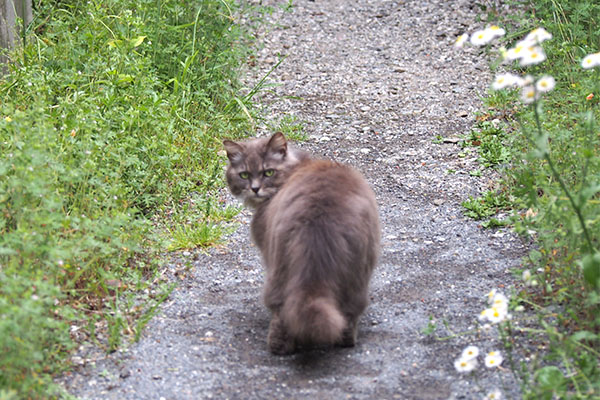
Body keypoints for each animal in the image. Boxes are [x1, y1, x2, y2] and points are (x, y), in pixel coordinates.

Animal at [223, 133, 382, 354]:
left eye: (268, 172)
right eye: (244, 175)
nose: (255, 189)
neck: (297, 166)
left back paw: (279, 347)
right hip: (356, 275)